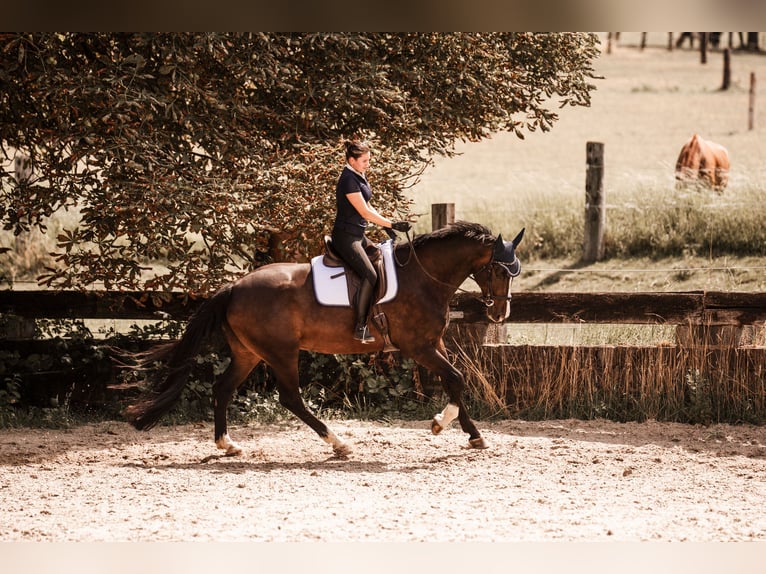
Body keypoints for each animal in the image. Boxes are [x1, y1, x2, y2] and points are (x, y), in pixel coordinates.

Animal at [123, 221, 525, 456]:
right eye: (498, 270)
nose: (500, 314)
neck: (424, 276)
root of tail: (234, 287)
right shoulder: (419, 346)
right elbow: (456, 378)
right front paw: (443, 423)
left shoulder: (434, 344)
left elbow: (456, 380)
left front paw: (471, 434)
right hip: (281, 352)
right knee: (290, 398)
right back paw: (339, 443)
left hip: (249, 353)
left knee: (223, 388)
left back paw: (228, 444)